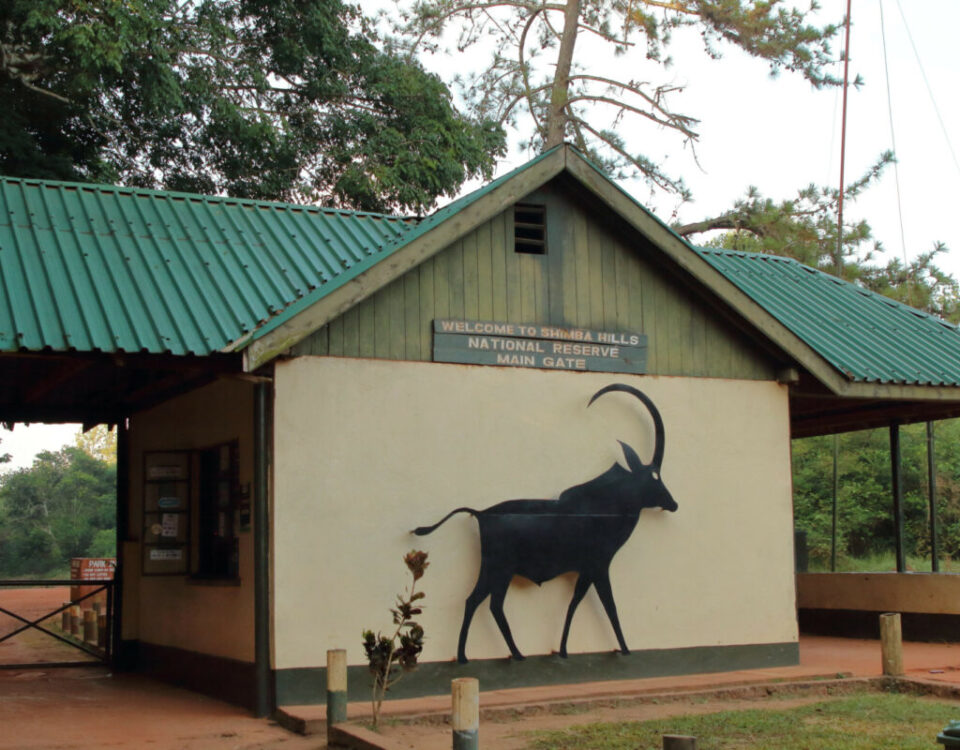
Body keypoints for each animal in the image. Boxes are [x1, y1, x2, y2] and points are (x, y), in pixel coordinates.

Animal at [412, 384, 676, 668]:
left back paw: (484, 655)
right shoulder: (599, 565)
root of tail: (480, 514)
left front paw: (563, 650)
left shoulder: (586, 569)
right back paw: (494, 655)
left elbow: (574, 602)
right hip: (500, 567)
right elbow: (608, 605)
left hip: (497, 570)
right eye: (654, 476)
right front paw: (624, 649)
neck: (608, 508)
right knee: (486, 602)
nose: (674, 504)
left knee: (481, 602)